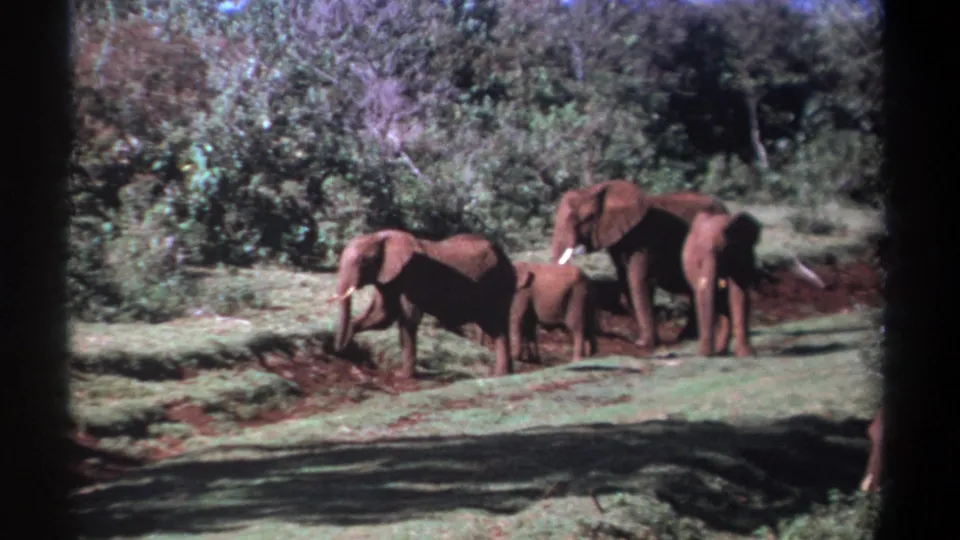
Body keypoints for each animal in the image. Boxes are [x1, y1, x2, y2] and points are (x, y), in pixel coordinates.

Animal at [330, 230, 518, 378]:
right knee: (497, 328)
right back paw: (504, 373)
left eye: (364, 260)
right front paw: (348, 347)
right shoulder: (388, 280)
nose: (338, 351)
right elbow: (382, 316)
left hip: (499, 283)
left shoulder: (413, 275)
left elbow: (408, 319)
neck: (380, 236)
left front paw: (402, 376)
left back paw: (500, 375)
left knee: (497, 325)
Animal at [551, 181, 730, 349]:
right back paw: (687, 338)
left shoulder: (647, 237)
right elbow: (625, 278)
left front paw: (643, 343)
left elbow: (638, 278)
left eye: (587, 218)